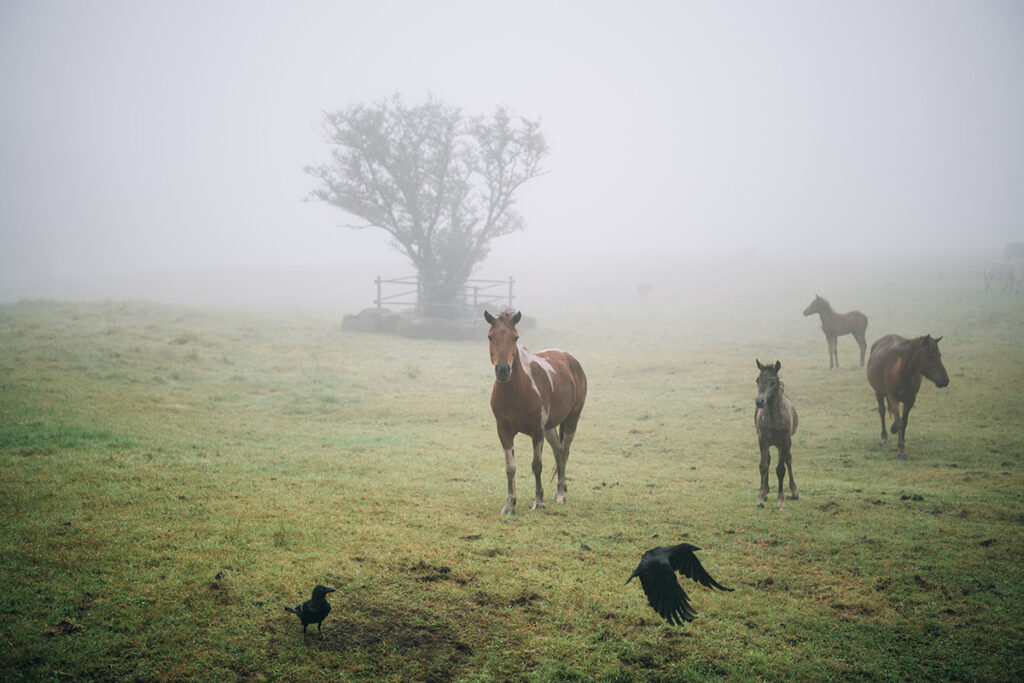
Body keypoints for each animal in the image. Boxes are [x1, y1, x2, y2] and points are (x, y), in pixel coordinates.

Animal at [484, 310, 587, 515]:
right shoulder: (504, 431)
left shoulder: (536, 431)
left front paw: (539, 501)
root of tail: (570, 359)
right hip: (550, 428)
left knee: (565, 452)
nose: (503, 370)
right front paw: (510, 504)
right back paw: (559, 490)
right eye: (490, 336)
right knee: (558, 451)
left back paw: (561, 494)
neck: (516, 391)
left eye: (515, 337)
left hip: (572, 420)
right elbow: (510, 467)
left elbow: (536, 465)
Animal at [754, 360, 798, 509]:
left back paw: (794, 492)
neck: (774, 418)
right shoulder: (762, 440)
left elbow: (780, 469)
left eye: (773, 382)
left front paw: (781, 501)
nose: (759, 401)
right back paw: (765, 492)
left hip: (783, 444)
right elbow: (763, 466)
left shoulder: (785, 441)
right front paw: (760, 499)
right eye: (757, 380)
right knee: (769, 459)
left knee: (788, 460)